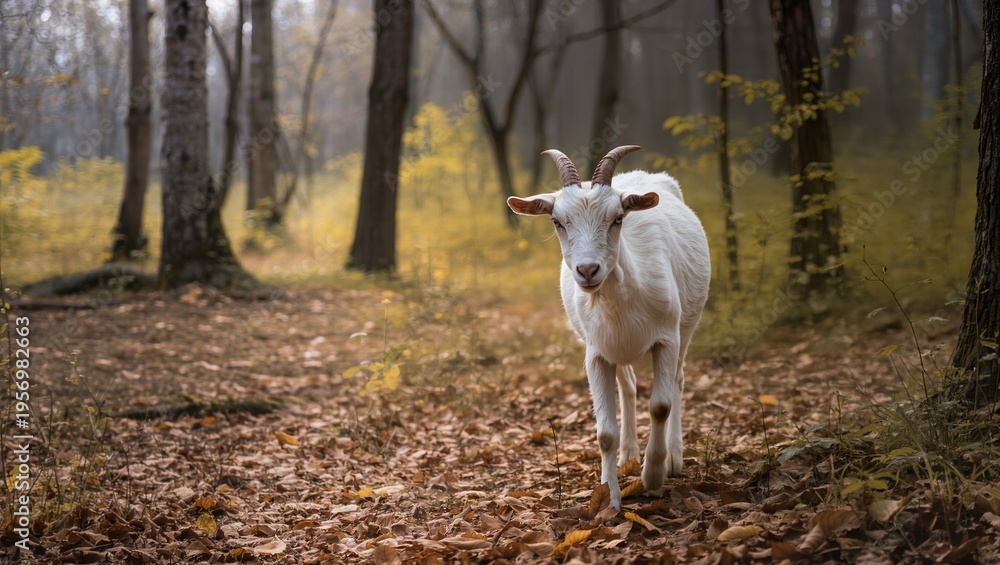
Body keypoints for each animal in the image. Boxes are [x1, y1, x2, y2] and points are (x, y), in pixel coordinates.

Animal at [507, 145, 711, 510]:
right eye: (557, 221)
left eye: (617, 218)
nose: (588, 270)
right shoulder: (597, 353)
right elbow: (604, 433)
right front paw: (609, 499)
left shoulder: (666, 339)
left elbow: (661, 405)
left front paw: (653, 477)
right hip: (617, 347)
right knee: (628, 386)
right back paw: (628, 454)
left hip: (687, 325)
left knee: (677, 381)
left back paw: (673, 457)